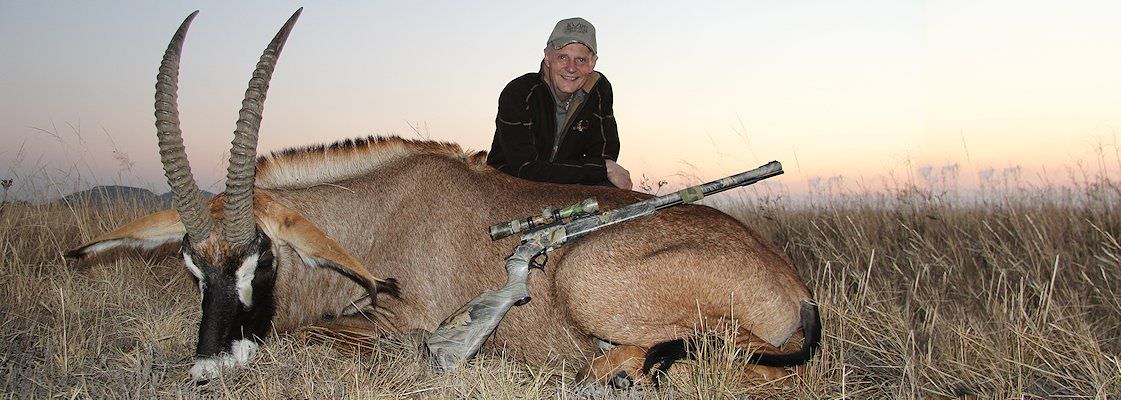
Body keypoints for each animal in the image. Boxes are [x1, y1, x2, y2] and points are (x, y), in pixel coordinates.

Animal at [70, 9, 825, 385]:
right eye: (192, 270)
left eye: (263, 259)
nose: (208, 366)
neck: (376, 216)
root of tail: (792, 282)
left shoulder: (401, 320)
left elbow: (317, 333)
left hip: (586, 277)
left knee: (727, 353)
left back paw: (609, 368)